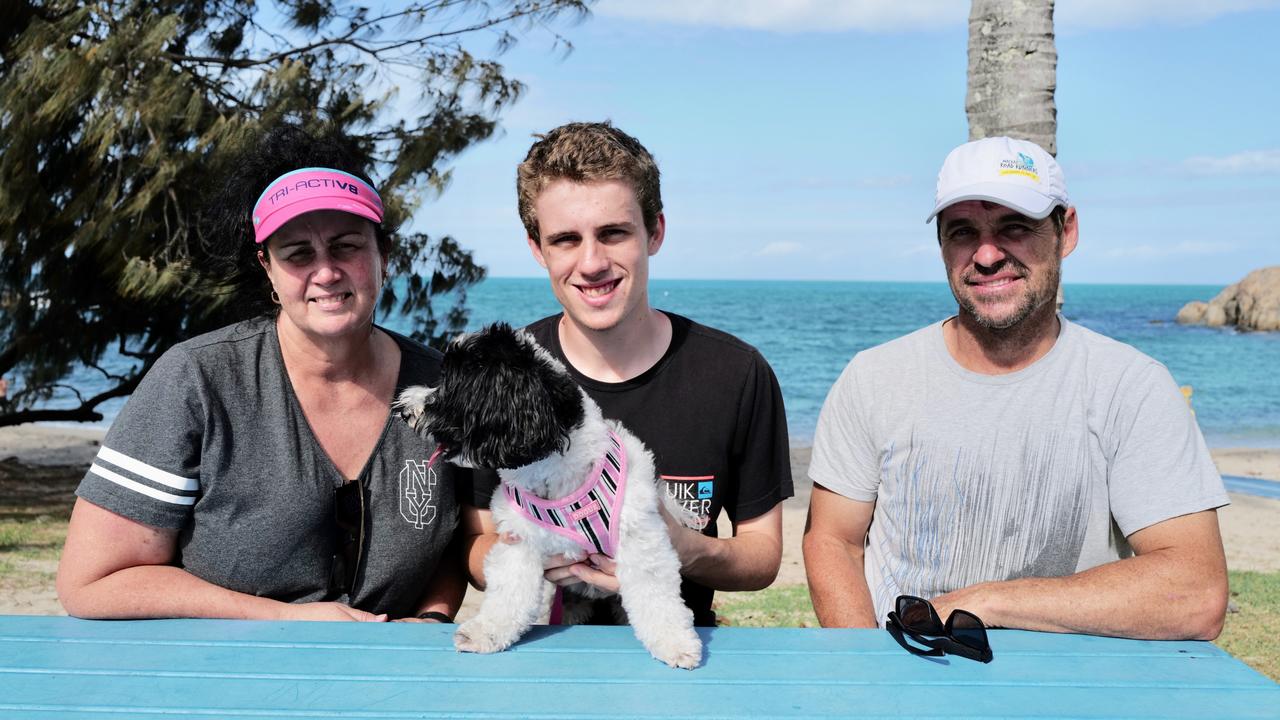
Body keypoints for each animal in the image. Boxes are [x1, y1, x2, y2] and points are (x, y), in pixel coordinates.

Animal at [396, 322, 701, 666]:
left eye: (450, 385)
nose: (404, 409)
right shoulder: (519, 542)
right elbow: (509, 592)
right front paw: (485, 633)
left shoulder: (641, 540)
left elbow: (656, 595)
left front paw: (675, 643)